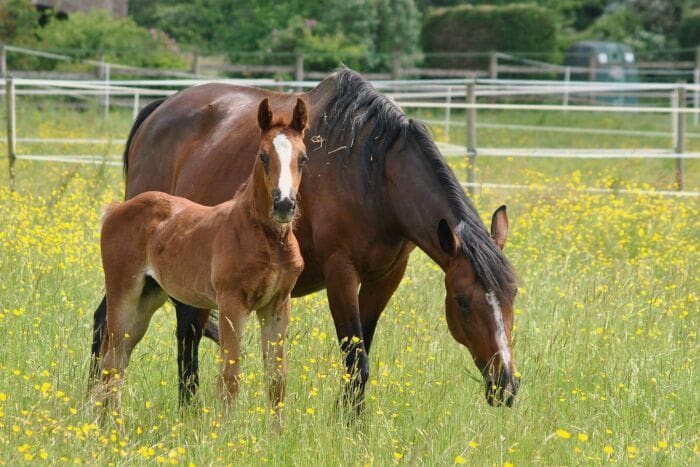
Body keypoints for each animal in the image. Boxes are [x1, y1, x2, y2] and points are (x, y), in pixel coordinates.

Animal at [95, 98, 306, 416]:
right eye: (263, 156)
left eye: (303, 158)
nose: (284, 205)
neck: (267, 240)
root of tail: (116, 209)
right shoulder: (232, 304)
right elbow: (230, 378)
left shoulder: (277, 306)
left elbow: (277, 381)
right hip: (124, 294)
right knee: (112, 362)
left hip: (148, 298)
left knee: (119, 362)